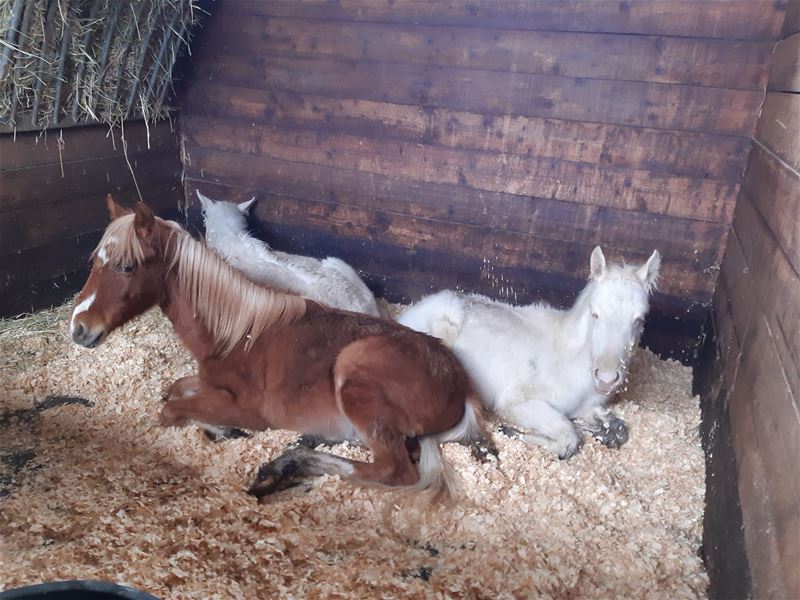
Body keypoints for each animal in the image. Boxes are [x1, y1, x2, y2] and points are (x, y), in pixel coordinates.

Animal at [398, 246, 661, 459]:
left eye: (640, 319)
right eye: (595, 314)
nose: (606, 379)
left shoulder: (588, 407)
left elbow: (617, 430)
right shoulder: (516, 402)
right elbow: (569, 438)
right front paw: (509, 430)